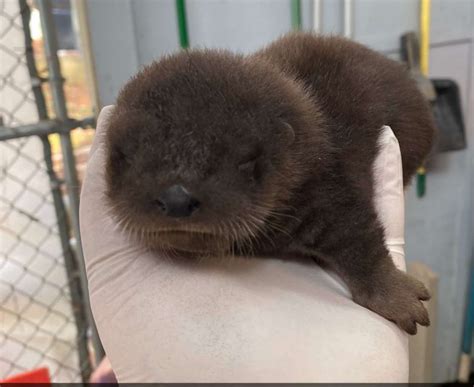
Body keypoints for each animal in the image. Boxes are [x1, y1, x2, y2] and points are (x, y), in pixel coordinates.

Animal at [105, 33, 436, 334]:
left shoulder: (332, 193)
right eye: (123, 156)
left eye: (245, 160)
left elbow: (361, 240)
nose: (177, 198)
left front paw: (395, 294)